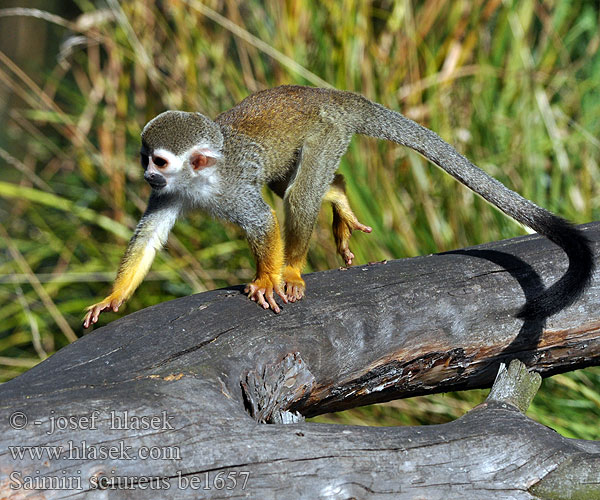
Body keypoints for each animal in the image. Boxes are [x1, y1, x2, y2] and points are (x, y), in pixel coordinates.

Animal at [82, 86, 592, 328]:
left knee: (297, 194)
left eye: (159, 160)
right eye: (146, 159)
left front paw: (267, 278)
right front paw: (114, 297)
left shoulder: (230, 188)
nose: (146, 174)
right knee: (290, 183)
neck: (197, 181)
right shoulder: (167, 193)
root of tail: (329, 94)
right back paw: (340, 195)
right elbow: (149, 235)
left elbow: (261, 220)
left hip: (327, 131)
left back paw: (292, 267)